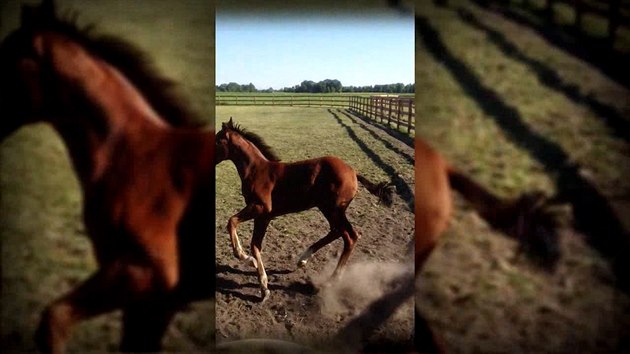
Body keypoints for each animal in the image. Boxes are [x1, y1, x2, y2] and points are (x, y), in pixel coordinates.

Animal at [217, 119, 396, 302]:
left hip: (333, 209)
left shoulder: (260, 208)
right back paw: (303, 260)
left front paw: (244, 257)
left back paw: (332, 280)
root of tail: (353, 172)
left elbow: (232, 222)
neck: (256, 171)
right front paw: (263, 286)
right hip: (328, 209)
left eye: (217, 141)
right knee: (336, 231)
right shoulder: (264, 216)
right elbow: (255, 245)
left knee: (350, 236)